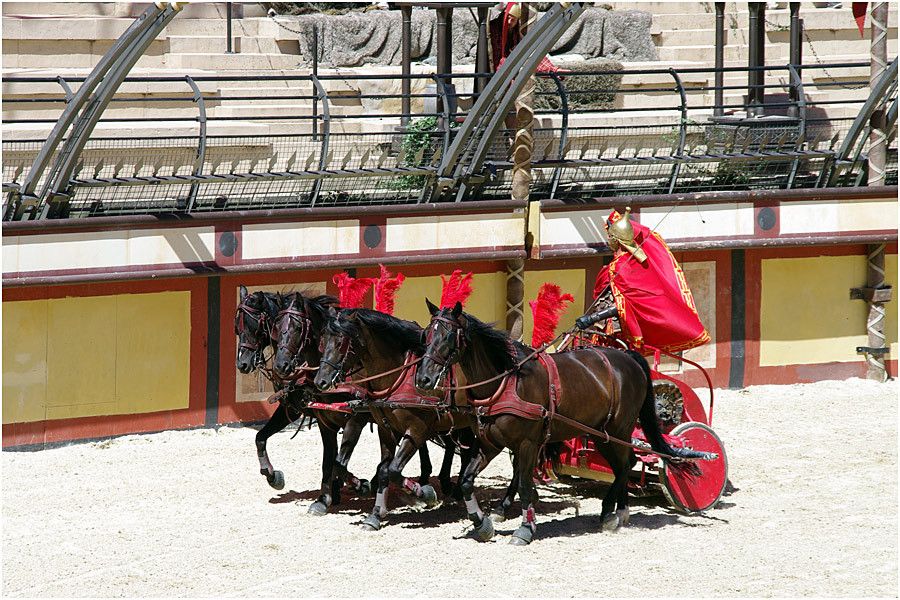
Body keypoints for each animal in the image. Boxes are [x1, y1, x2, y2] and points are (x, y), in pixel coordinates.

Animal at [316, 310, 482, 536]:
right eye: (322, 340)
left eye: (341, 342)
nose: (320, 381)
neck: (399, 376)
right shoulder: (386, 429)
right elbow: (379, 469)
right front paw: (375, 513)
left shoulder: (417, 429)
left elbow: (394, 470)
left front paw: (425, 494)